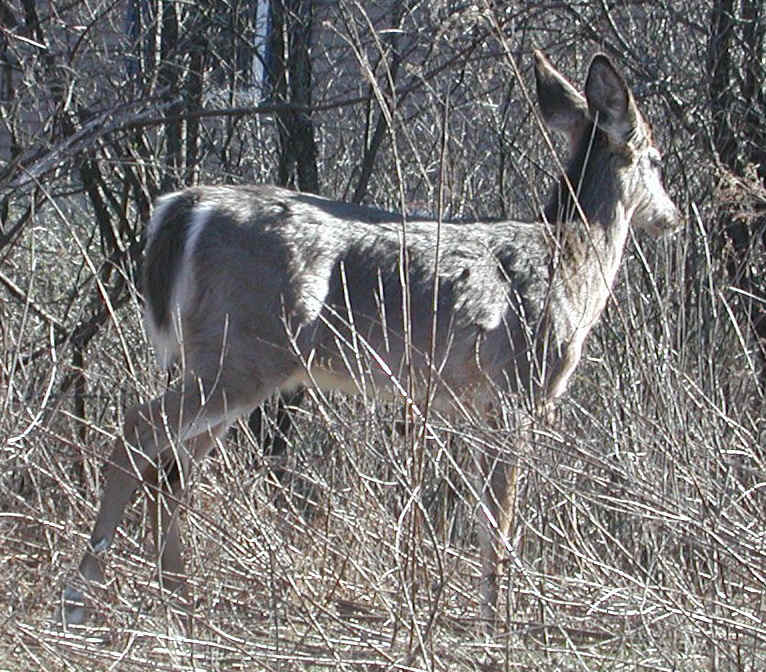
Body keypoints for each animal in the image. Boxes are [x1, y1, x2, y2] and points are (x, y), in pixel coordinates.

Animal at [58, 50, 679, 627]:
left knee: (175, 469)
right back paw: (81, 596)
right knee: (139, 430)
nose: (670, 217)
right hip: (243, 353)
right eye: (655, 159)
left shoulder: (474, 403)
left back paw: (181, 601)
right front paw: (499, 621)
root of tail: (182, 209)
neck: (571, 260)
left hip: (226, 361)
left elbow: (483, 514)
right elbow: (500, 517)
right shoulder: (515, 390)